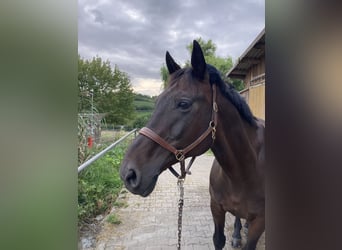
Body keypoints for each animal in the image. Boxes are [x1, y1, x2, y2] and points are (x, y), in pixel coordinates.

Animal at [119, 40, 264, 249]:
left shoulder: (260, 221)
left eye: (184, 104)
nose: (128, 173)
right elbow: (218, 239)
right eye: (157, 101)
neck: (244, 170)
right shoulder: (216, 208)